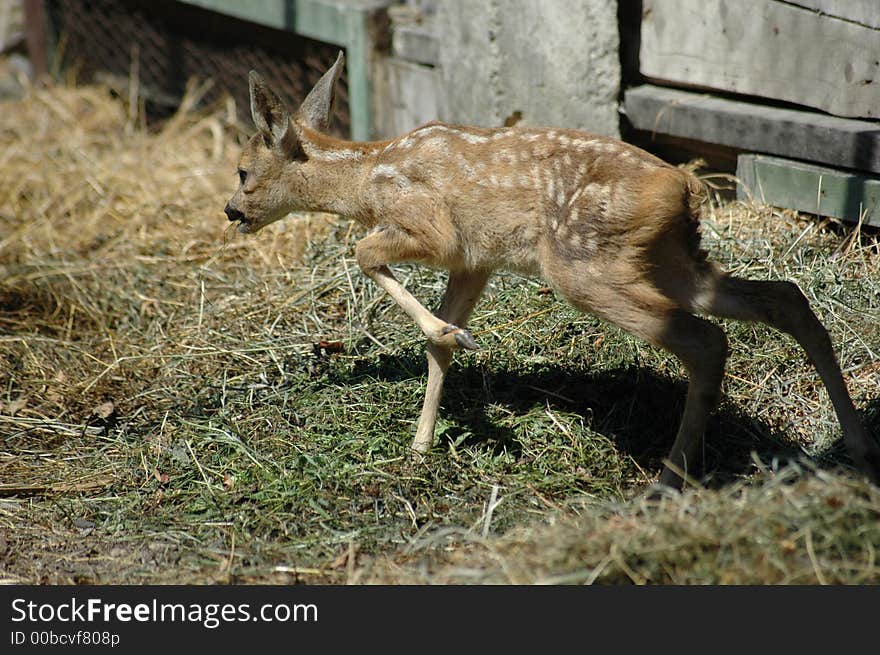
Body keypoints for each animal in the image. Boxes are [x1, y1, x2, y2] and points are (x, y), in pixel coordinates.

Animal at [227, 53, 880, 490]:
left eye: (241, 171)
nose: (232, 212)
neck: (366, 177)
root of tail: (687, 187)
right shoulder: (475, 262)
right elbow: (440, 346)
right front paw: (419, 448)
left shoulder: (433, 229)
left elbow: (365, 256)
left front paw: (453, 362)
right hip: (669, 260)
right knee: (785, 297)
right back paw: (856, 447)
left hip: (581, 265)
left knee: (705, 339)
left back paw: (669, 481)